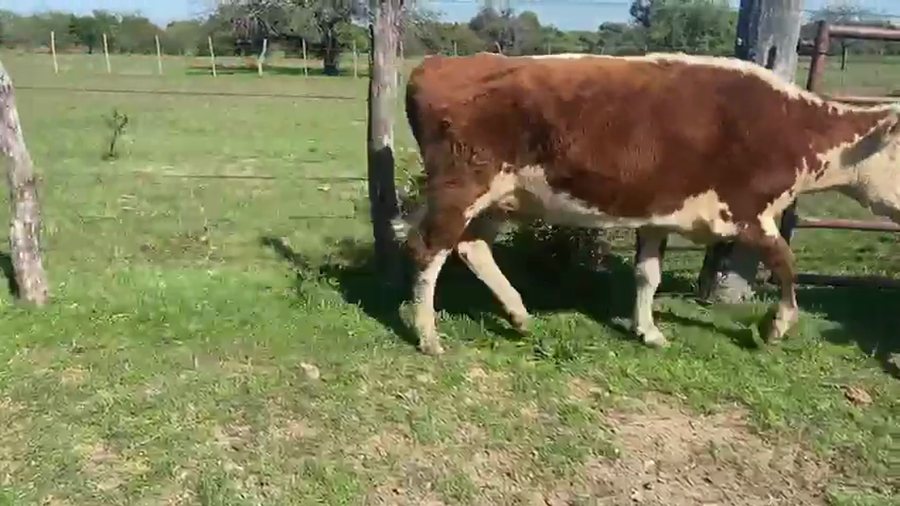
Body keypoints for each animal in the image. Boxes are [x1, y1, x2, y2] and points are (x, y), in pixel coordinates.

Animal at [391, 51, 900, 356]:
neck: (789, 127)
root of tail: (443, 62)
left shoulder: (659, 212)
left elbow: (647, 275)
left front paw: (648, 331)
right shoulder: (747, 212)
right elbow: (786, 263)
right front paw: (776, 327)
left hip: (500, 198)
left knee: (471, 247)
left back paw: (518, 315)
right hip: (461, 187)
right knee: (428, 249)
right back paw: (428, 336)